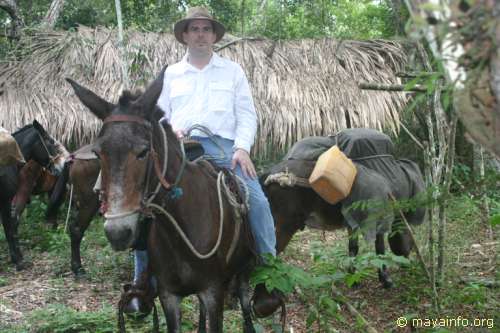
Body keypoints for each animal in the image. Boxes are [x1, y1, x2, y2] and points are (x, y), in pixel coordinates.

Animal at [67, 70, 258, 332]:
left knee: (245, 302)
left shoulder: (213, 292)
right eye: (97, 153)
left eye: (143, 152)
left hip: (243, 271)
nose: (118, 232)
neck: (181, 232)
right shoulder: (169, 296)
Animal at [262, 137, 426, 288]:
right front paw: (385, 279)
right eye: (410, 237)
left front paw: (352, 277)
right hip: (286, 225)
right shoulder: (376, 221)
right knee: (270, 254)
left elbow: (353, 248)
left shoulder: (352, 223)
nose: (407, 262)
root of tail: (270, 173)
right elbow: (379, 249)